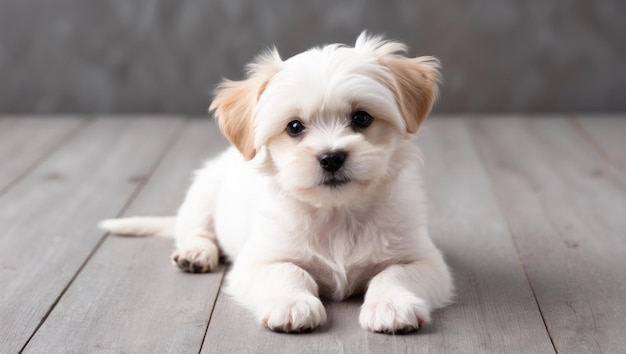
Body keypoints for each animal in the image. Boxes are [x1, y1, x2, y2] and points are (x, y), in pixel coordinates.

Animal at [100, 31, 450, 334]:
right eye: (294, 127)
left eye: (362, 118)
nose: (331, 157)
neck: (337, 213)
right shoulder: (258, 260)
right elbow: (287, 270)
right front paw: (292, 304)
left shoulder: (426, 260)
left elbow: (396, 273)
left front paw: (391, 306)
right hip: (203, 191)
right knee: (194, 229)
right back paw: (196, 253)